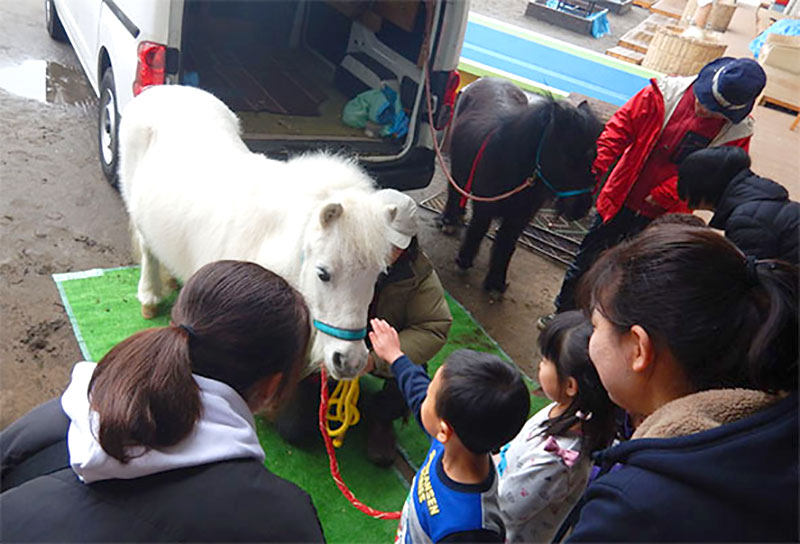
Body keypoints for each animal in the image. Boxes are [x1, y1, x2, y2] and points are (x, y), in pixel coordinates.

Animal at [119, 87, 394, 380]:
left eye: (376, 276)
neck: (270, 241)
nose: (350, 361)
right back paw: (150, 298)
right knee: (147, 248)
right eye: (323, 273)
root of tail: (163, 90)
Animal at [440, 76, 604, 298]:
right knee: (455, 189)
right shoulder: (486, 206)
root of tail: (487, 79)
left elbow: (506, 244)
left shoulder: (521, 217)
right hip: (459, 168)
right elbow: (478, 230)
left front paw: (496, 283)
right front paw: (464, 261)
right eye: (568, 156)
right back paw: (449, 220)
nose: (581, 209)